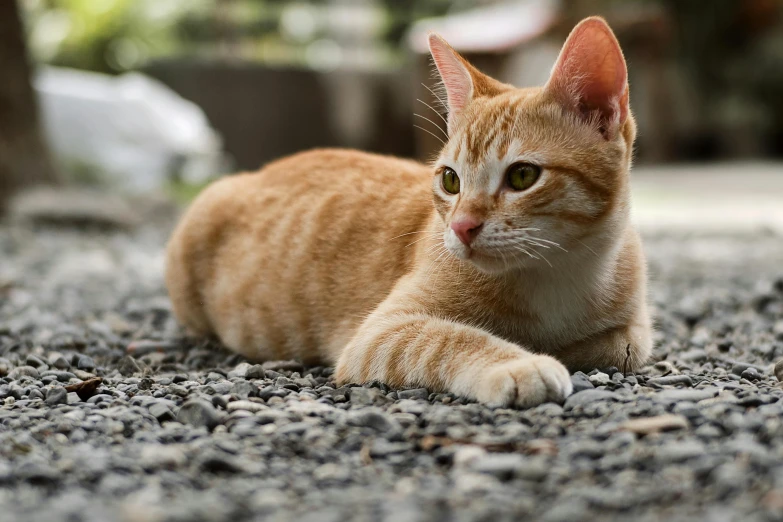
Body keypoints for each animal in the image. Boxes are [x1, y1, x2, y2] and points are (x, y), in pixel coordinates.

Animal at [167, 17, 656, 406]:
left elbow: (617, 347)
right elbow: (448, 338)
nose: (461, 227)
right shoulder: (380, 332)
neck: (555, 274)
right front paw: (520, 362)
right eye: (451, 180)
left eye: (522, 176)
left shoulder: (635, 330)